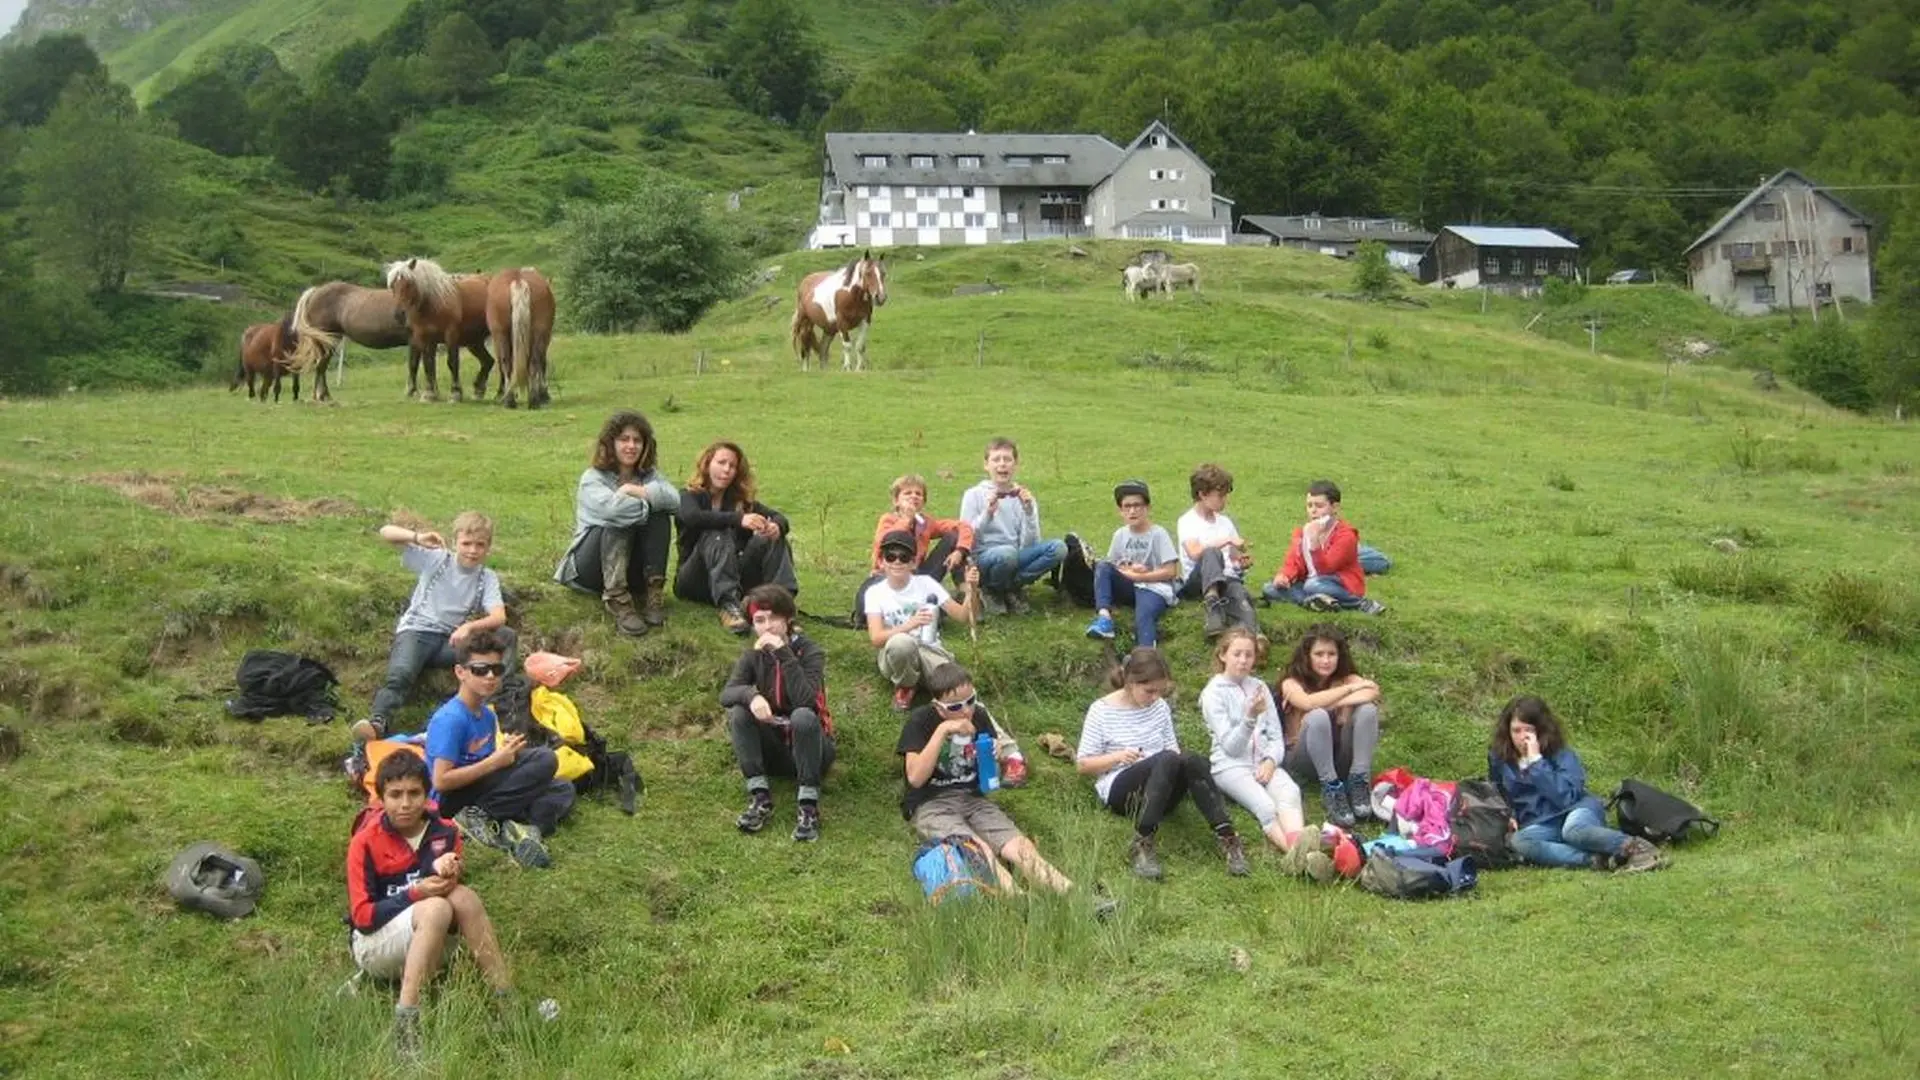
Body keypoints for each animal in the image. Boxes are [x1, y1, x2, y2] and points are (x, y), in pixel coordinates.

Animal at [380, 255, 499, 399]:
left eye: (409, 284)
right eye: (392, 286)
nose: (399, 314)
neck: (433, 304)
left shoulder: (451, 335)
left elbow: (452, 362)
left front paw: (455, 392)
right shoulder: (425, 337)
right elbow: (428, 364)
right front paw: (430, 393)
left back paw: (500, 393)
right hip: (474, 341)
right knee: (488, 361)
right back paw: (479, 390)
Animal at [483, 265, 560, 407]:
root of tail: (518, 280)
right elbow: (542, 363)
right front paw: (544, 394)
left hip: (501, 334)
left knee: (507, 362)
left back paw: (511, 400)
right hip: (536, 334)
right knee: (533, 361)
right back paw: (532, 399)